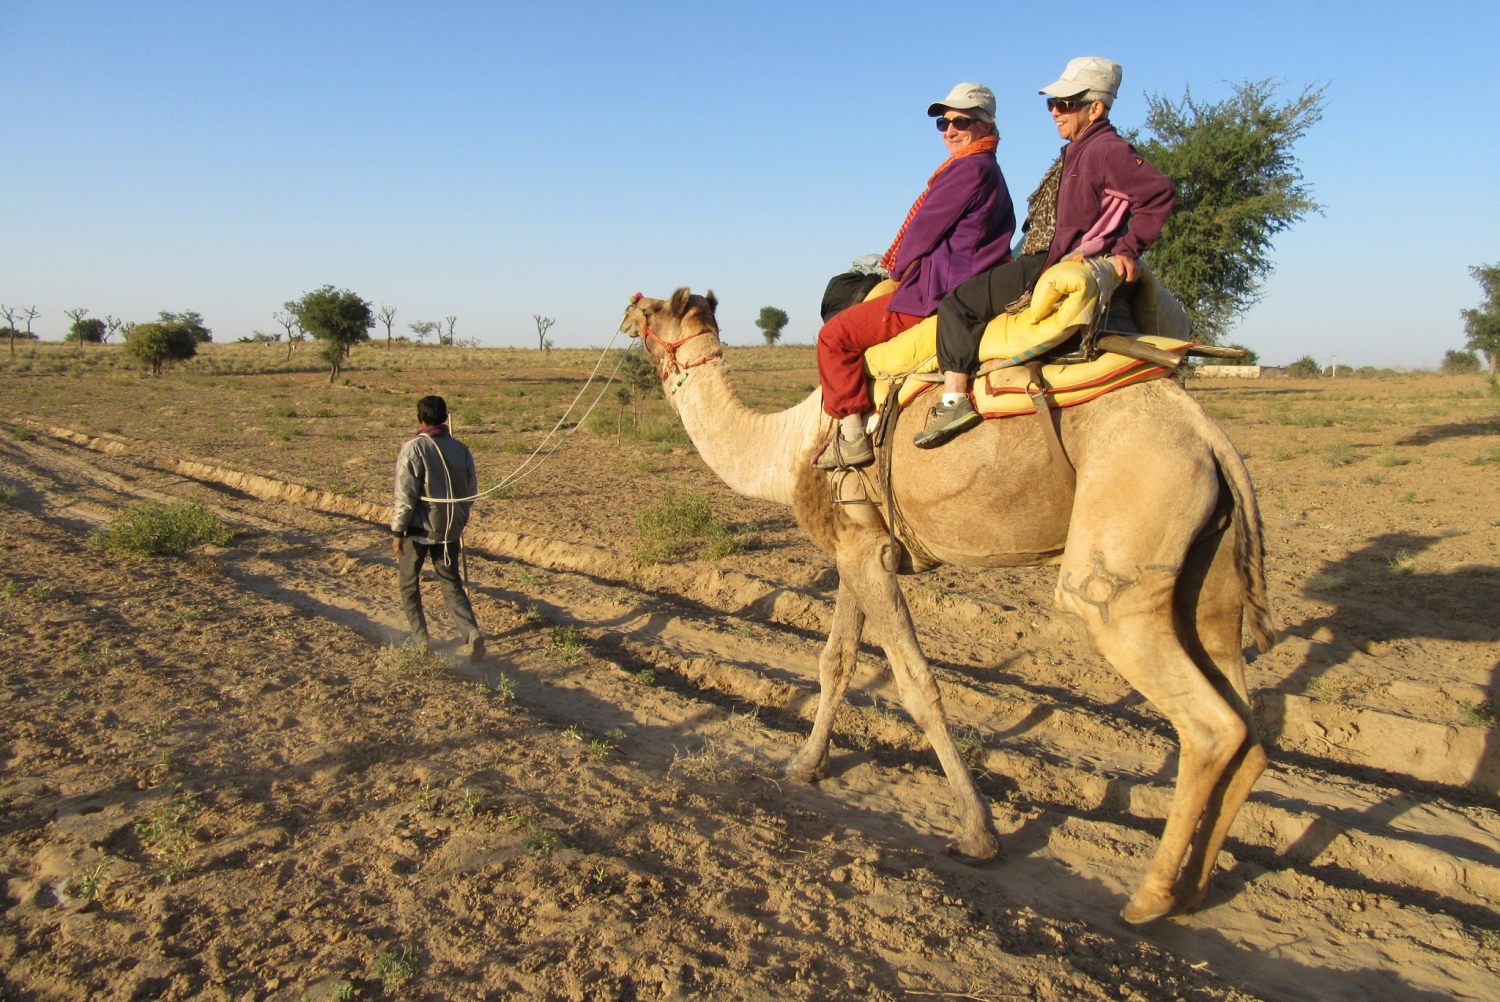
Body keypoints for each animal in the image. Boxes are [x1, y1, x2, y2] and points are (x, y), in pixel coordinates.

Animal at [621, 288, 1278, 924]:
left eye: (652, 312)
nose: (627, 313)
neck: (788, 451)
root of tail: (1207, 435)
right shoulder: (856, 546)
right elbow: (836, 661)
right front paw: (806, 764)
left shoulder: (865, 553)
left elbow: (916, 685)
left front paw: (977, 833)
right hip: (1207, 576)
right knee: (1246, 725)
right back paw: (1192, 890)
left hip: (1124, 546)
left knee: (1209, 723)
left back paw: (1149, 898)